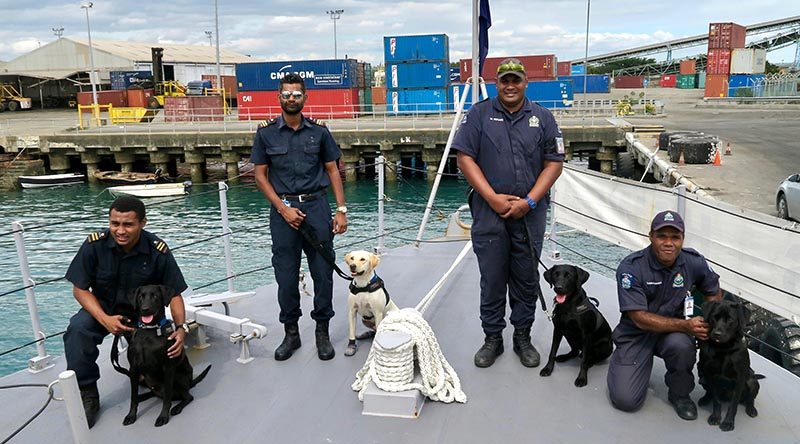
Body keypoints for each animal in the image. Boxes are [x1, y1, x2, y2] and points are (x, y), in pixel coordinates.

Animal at [123, 284, 211, 426]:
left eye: (155, 296)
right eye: (141, 297)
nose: (145, 309)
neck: (149, 332)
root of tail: (190, 382)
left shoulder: (168, 367)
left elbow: (167, 397)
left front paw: (163, 416)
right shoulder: (134, 369)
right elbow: (133, 397)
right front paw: (131, 415)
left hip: (178, 377)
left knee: (187, 396)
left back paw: (177, 407)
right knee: (152, 393)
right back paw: (143, 396)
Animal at [700, 298, 764, 430]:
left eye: (730, 320)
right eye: (714, 317)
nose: (717, 334)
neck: (723, 348)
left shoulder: (739, 378)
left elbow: (733, 405)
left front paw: (728, 422)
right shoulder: (710, 373)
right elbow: (716, 400)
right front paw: (715, 416)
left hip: (753, 381)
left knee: (750, 399)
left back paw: (751, 409)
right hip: (703, 377)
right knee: (709, 392)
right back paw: (705, 399)